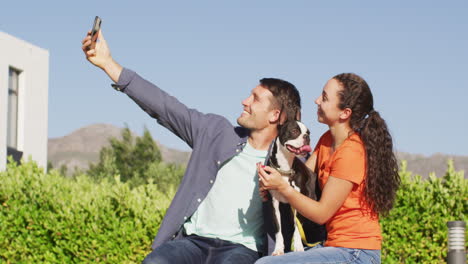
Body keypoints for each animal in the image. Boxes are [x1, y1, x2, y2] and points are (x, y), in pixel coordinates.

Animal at [266, 120, 318, 256]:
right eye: (294, 131)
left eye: (308, 132)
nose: (307, 137)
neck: (285, 167)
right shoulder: (274, 205)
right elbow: (278, 230)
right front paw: (278, 249)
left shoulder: (300, 204)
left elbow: (297, 229)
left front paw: (298, 247)